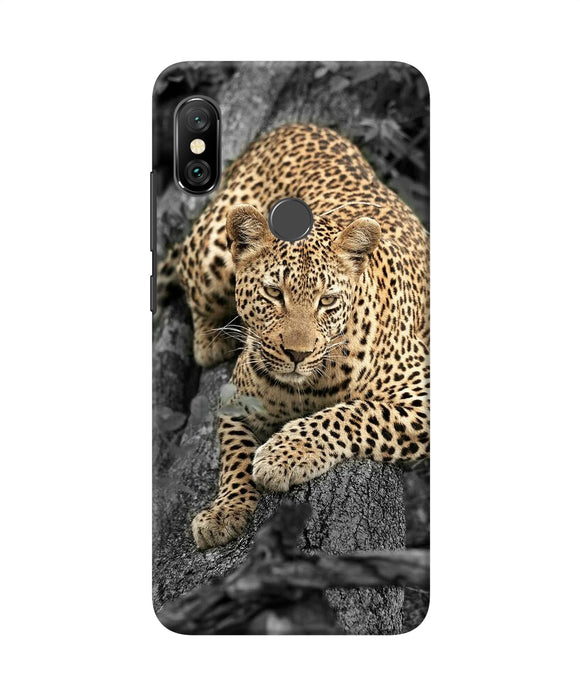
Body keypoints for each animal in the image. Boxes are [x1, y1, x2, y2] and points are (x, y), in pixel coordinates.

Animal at [167, 123, 429, 550]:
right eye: (275, 293)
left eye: (327, 300)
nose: (296, 354)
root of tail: (297, 125)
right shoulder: (234, 400)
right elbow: (234, 455)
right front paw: (225, 511)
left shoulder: (421, 394)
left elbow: (352, 413)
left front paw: (282, 455)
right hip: (212, 253)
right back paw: (211, 340)